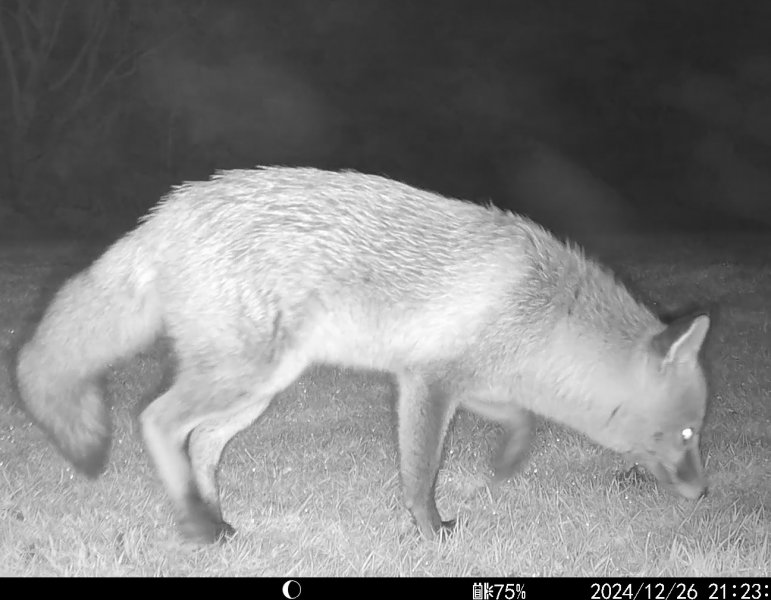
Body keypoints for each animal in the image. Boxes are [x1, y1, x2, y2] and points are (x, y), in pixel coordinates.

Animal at [15, 166, 711, 544]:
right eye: (686, 433)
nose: (705, 494)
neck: (544, 316)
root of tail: (167, 211)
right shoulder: (429, 383)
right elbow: (421, 474)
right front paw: (431, 534)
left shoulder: (463, 378)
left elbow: (520, 420)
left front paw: (506, 462)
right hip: (242, 377)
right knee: (156, 421)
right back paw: (195, 522)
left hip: (257, 389)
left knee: (202, 443)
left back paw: (217, 521)